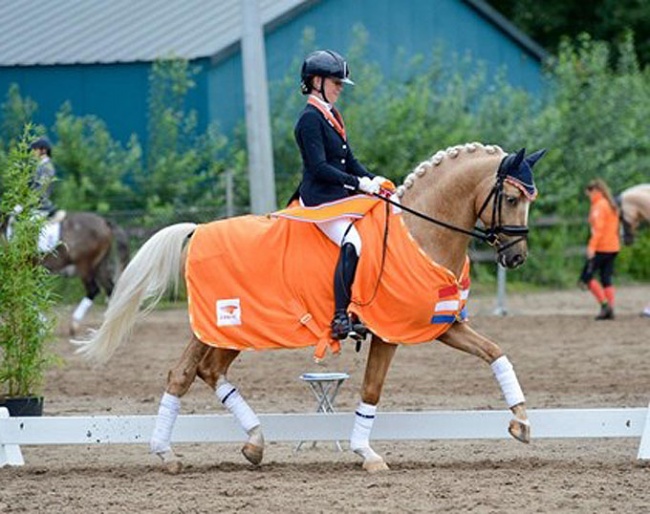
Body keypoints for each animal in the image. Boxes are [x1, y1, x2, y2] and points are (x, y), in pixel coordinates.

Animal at [74, 142, 540, 470]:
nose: (517, 258)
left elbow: (495, 352)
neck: (418, 232)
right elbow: (372, 389)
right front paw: (366, 454)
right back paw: (167, 454)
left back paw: (252, 443)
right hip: (220, 324)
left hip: (230, 330)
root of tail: (199, 230)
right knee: (184, 373)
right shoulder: (389, 331)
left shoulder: (441, 324)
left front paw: (521, 422)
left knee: (207, 371)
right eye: (512, 199)